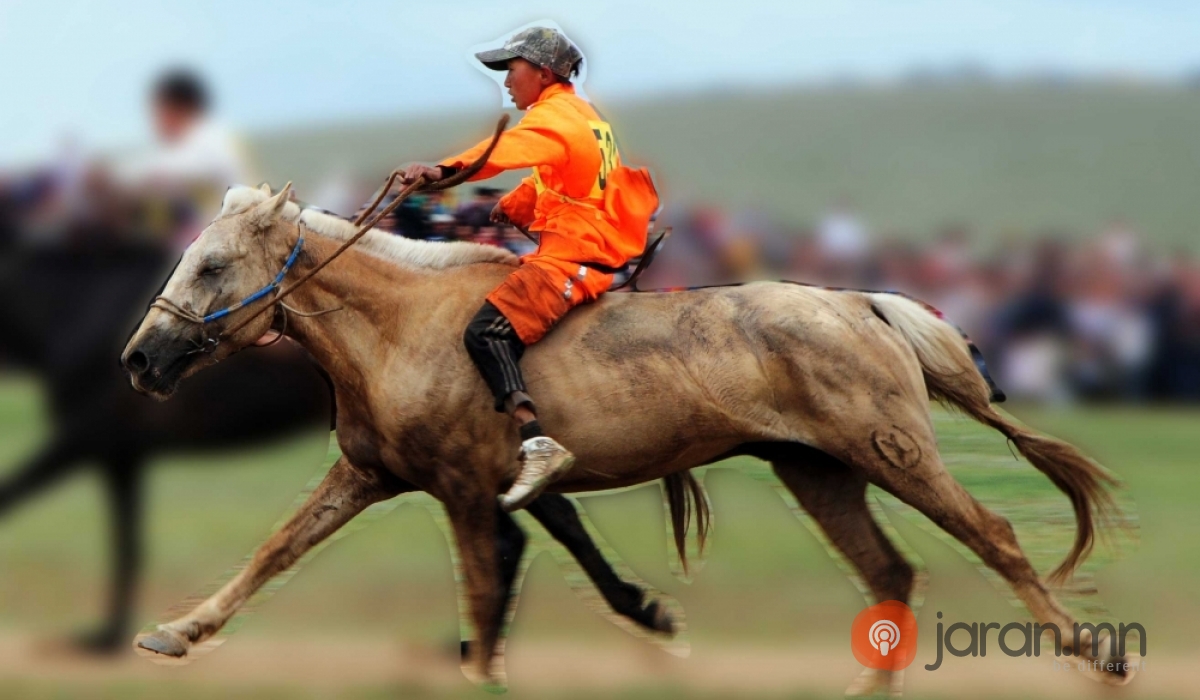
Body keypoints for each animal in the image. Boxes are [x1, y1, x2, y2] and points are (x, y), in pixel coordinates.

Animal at [0, 217, 676, 653]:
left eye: (213, 265)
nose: (138, 359)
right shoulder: (121, 454)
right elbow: (145, 543)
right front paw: (131, 634)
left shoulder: (88, 441)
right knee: (549, 516)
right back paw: (634, 607)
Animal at [119, 183, 1123, 691]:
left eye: (212, 263)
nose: (140, 359)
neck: (402, 325)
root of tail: (862, 303)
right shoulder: (371, 475)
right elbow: (276, 551)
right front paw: (178, 630)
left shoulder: (465, 495)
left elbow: (484, 596)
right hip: (819, 472)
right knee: (890, 575)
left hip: (890, 453)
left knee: (994, 538)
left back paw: (1096, 651)